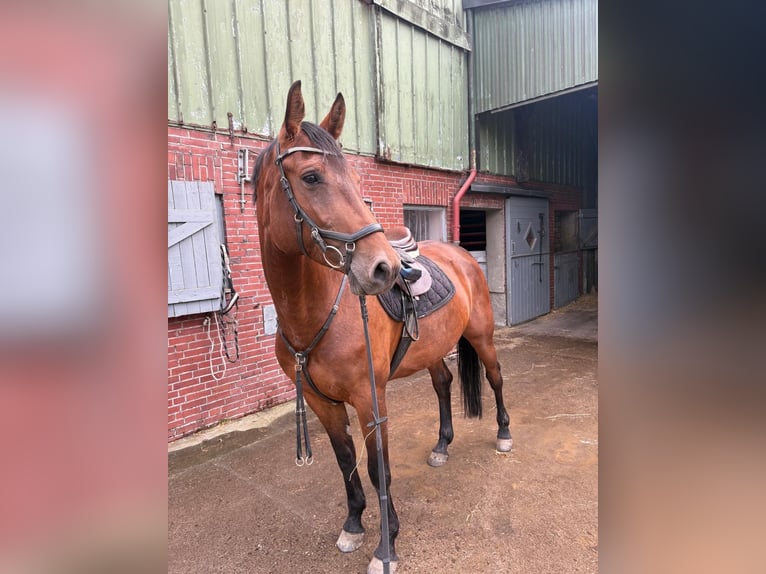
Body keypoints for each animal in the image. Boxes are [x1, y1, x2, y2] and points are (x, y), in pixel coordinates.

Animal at [253, 80, 512, 574]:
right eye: (311, 177)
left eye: (357, 182)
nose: (384, 269)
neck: (314, 316)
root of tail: (462, 254)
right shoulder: (321, 403)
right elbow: (345, 461)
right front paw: (354, 524)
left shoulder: (369, 400)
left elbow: (378, 469)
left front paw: (386, 545)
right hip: (432, 350)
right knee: (444, 383)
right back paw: (442, 445)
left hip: (482, 338)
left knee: (495, 378)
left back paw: (505, 434)